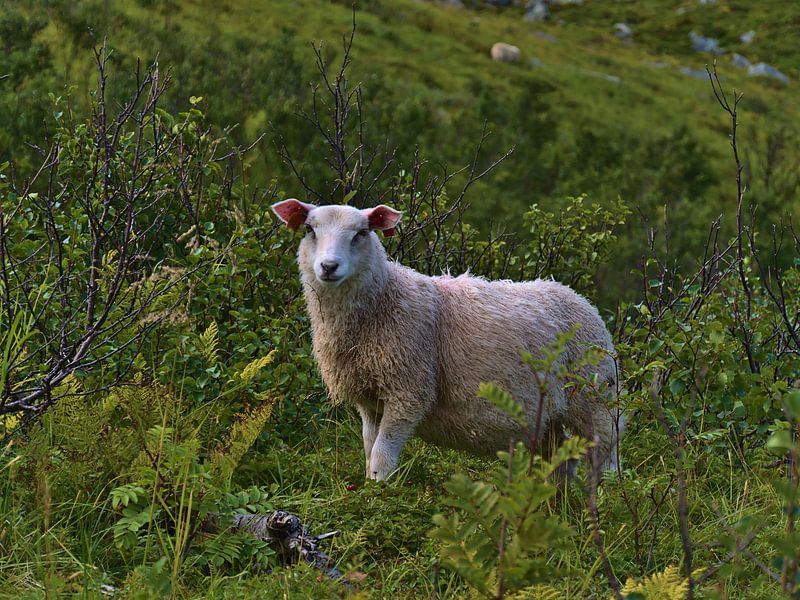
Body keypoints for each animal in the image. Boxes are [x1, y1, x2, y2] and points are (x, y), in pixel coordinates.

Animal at [272, 199, 620, 480]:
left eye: (361, 233)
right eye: (309, 230)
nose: (328, 266)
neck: (383, 300)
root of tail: (580, 299)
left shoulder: (409, 389)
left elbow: (382, 455)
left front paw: (379, 492)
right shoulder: (369, 397)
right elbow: (370, 448)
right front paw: (369, 490)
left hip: (596, 397)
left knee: (605, 456)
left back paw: (608, 502)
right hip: (549, 416)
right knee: (562, 459)